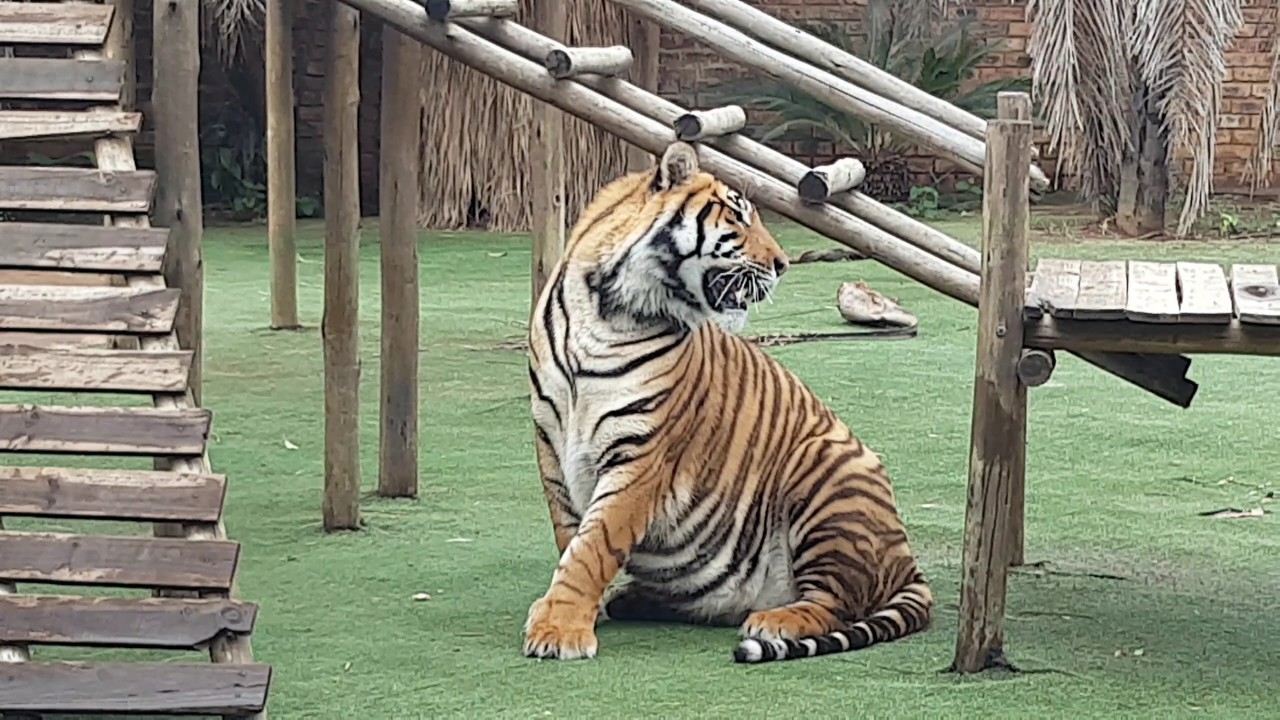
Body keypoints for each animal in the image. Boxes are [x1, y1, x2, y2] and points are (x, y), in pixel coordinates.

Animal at [524, 141, 932, 664]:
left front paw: (559, 628)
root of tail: (908, 564)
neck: (607, 310)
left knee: (834, 602)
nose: (782, 263)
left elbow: (594, 545)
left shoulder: (641, 456)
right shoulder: (552, 441)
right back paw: (633, 598)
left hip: (826, 472)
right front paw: (568, 613)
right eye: (737, 219)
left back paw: (775, 623)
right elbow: (570, 537)